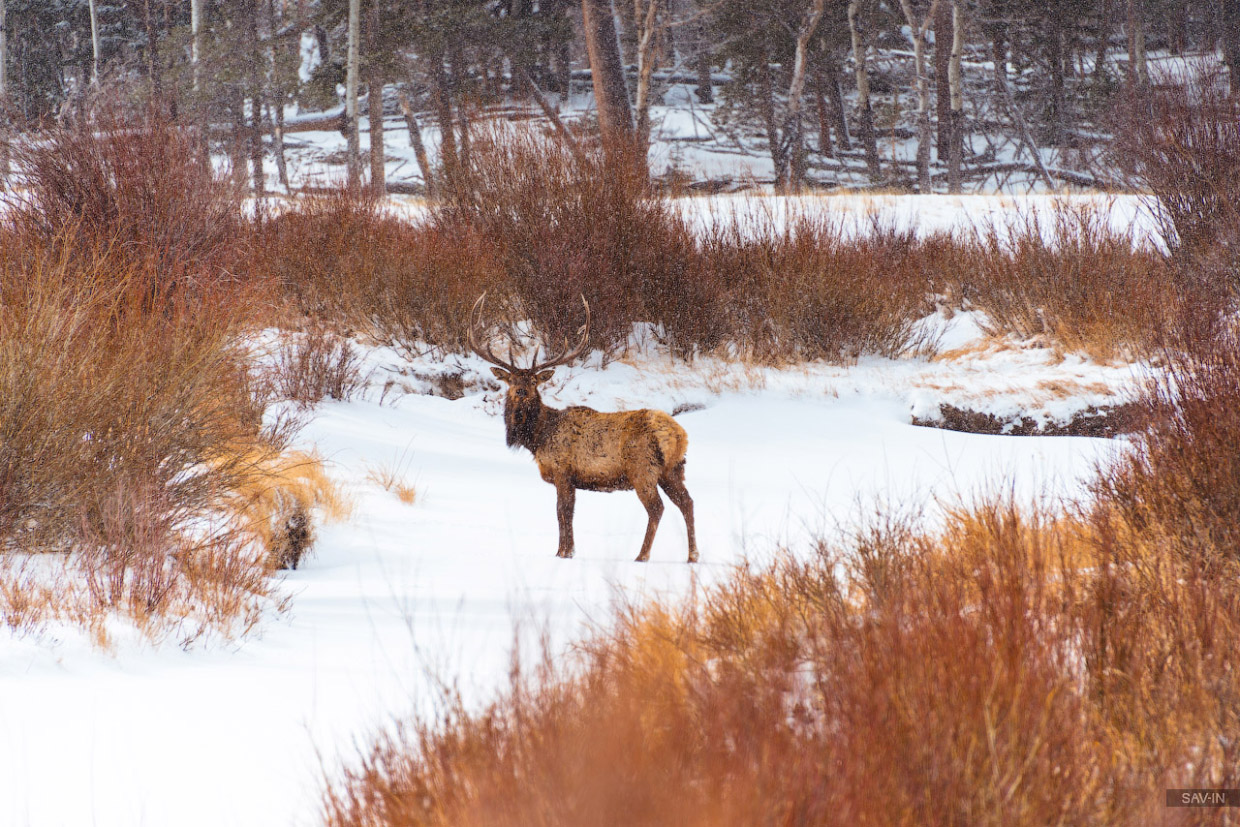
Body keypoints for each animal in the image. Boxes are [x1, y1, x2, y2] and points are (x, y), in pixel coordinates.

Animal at [468, 292, 699, 562]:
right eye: (511, 380)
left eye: (534, 381)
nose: (521, 392)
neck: (539, 437)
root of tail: (679, 435)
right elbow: (568, 513)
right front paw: (568, 550)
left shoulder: (563, 471)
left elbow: (562, 512)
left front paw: (562, 552)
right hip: (673, 469)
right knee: (687, 502)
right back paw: (692, 555)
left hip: (643, 469)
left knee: (657, 508)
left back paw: (642, 555)